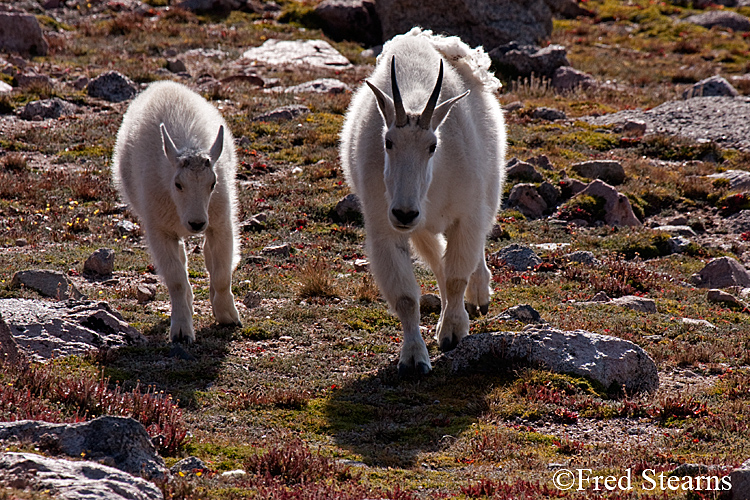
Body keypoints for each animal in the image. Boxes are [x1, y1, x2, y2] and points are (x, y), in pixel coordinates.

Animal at [113, 81, 241, 344]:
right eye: (178, 184)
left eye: (213, 183)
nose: (196, 224)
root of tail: (163, 85)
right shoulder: (159, 230)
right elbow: (177, 280)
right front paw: (182, 331)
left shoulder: (221, 223)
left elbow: (222, 274)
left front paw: (228, 316)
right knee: (183, 259)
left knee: (208, 256)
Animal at [342, 27, 508, 376]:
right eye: (388, 142)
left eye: (432, 146)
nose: (405, 212)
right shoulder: (386, 227)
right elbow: (407, 297)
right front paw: (414, 358)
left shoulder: (467, 216)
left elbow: (457, 277)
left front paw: (453, 333)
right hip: (421, 228)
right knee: (438, 261)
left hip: (488, 190)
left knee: (472, 252)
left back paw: (479, 294)